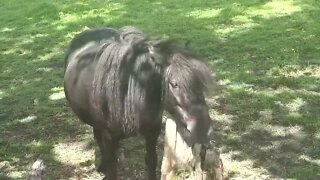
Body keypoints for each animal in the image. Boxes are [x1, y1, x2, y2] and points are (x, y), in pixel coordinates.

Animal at [63, 26, 214, 179]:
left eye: (201, 83)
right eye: (174, 84)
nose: (203, 130)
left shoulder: (153, 131)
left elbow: (151, 159)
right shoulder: (109, 136)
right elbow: (112, 167)